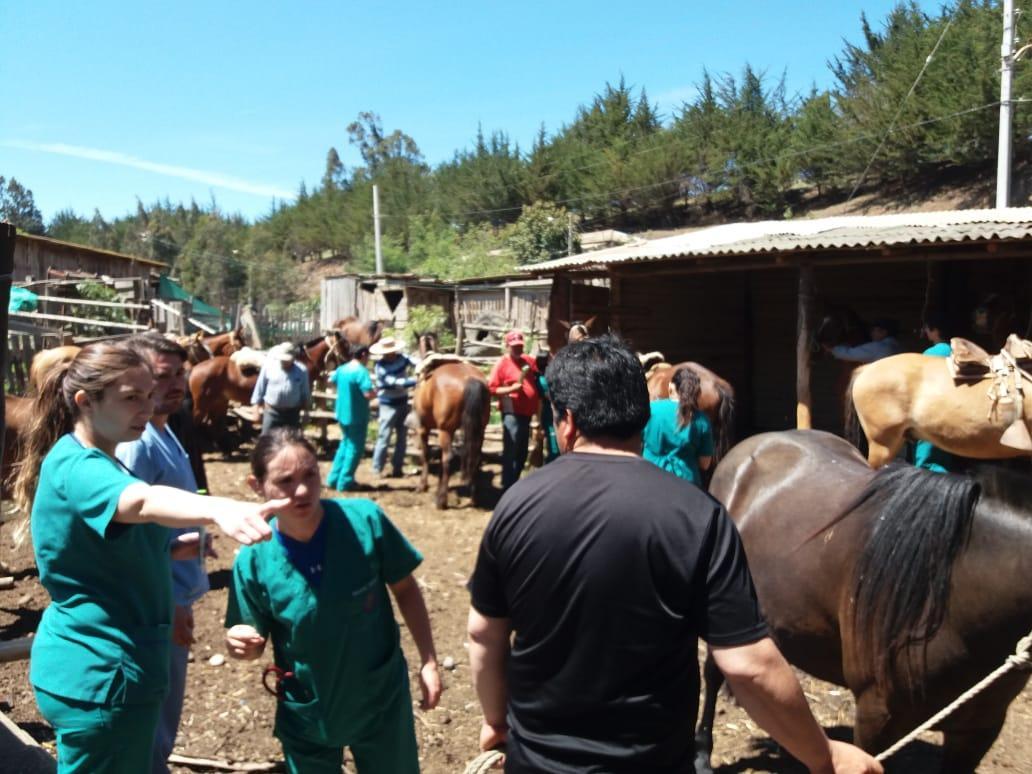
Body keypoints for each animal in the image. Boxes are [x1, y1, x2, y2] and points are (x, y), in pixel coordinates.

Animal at [410, 334, 491, 511]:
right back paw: (474, 498)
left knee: (448, 457)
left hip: (445, 431)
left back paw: (441, 500)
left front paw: (422, 485)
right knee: (475, 456)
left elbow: (425, 454)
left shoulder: (423, 428)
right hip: (479, 430)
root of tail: (470, 379)